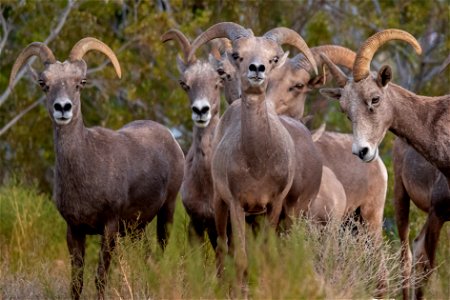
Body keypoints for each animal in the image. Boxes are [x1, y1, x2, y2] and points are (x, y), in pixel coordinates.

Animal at [9, 37, 185, 300]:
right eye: (44, 83)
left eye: (80, 82)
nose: (63, 107)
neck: (87, 167)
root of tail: (171, 138)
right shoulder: (74, 231)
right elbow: (76, 283)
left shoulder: (109, 228)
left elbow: (100, 278)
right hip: (137, 228)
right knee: (148, 259)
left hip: (167, 212)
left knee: (160, 254)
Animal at [187, 22, 324, 296]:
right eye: (237, 55)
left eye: (273, 59)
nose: (257, 69)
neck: (258, 165)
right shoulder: (237, 205)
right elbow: (240, 257)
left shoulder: (273, 206)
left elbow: (266, 256)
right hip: (221, 206)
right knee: (222, 248)